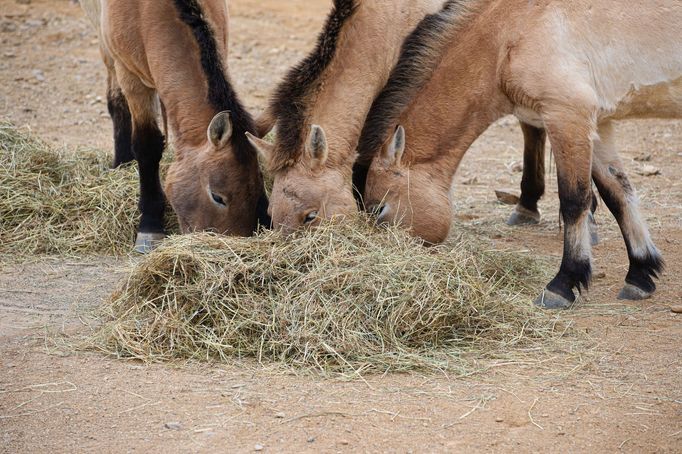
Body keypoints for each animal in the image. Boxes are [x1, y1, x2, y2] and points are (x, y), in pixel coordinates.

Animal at [81, 0, 266, 252]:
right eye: (217, 197)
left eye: (257, 185)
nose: (234, 238)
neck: (147, 12)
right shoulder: (131, 78)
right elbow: (147, 145)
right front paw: (150, 225)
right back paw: (122, 162)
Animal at [358, 0, 676, 308]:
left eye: (379, 209)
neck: (510, 32)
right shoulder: (598, 125)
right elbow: (618, 194)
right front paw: (640, 274)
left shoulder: (567, 117)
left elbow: (574, 201)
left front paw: (562, 285)